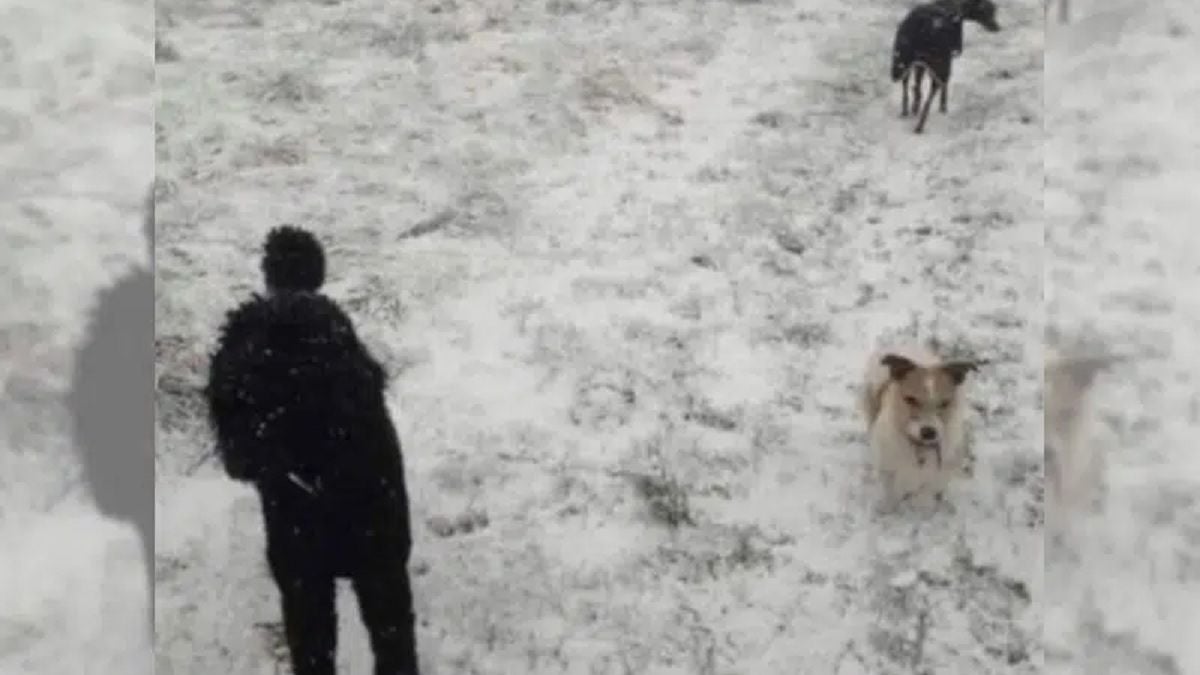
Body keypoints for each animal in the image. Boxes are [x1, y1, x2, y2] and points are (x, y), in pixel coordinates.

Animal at [210, 227, 422, 672]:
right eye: (227, 382)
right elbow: (312, 650)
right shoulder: (304, 584)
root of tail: (294, 291)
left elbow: (395, 646)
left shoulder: (382, 574)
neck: (324, 482)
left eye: (286, 385)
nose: (236, 455)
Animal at [859, 341, 979, 504]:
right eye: (910, 399)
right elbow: (891, 495)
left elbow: (927, 496)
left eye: (945, 403)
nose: (929, 432)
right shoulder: (890, 472)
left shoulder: (936, 478)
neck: (921, 448)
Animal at [892, 0, 1003, 133]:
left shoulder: (920, 64)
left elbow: (917, 86)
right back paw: (920, 125)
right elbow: (944, 86)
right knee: (931, 95)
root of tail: (922, 31)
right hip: (939, 65)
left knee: (906, 85)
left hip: (903, 62)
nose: (997, 28)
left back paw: (907, 111)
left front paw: (915, 107)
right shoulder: (947, 60)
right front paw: (943, 107)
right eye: (987, 9)